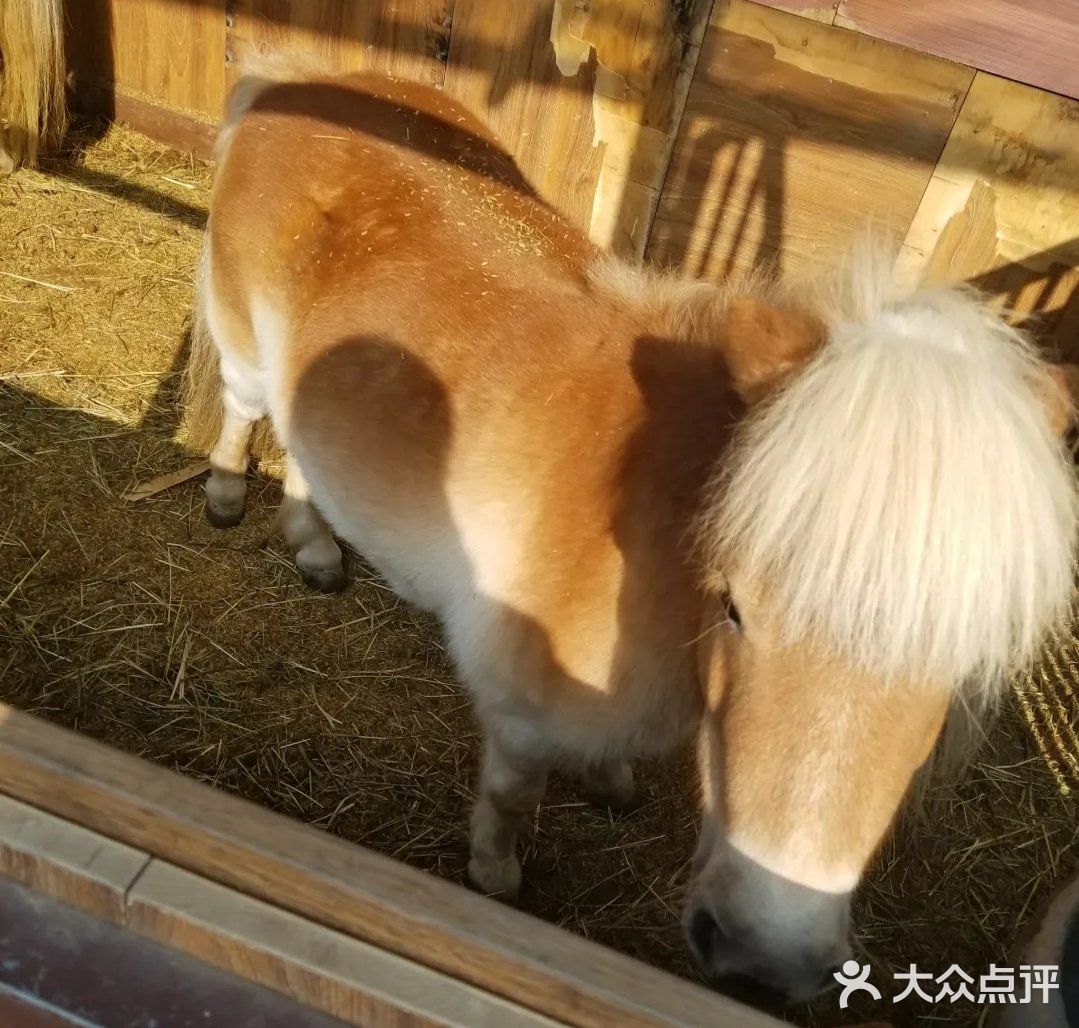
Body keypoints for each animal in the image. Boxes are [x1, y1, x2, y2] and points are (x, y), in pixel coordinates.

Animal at [183, 60, 1078, 1005]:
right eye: (733, 607)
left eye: (962, 664)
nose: (765, 957)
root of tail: (292, 79)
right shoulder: (518, 716)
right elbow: (510, 800)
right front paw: (495, 878)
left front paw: (610, 784)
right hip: (243, 350)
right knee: (246, 415)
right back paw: (228, 495)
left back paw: (315, 547)